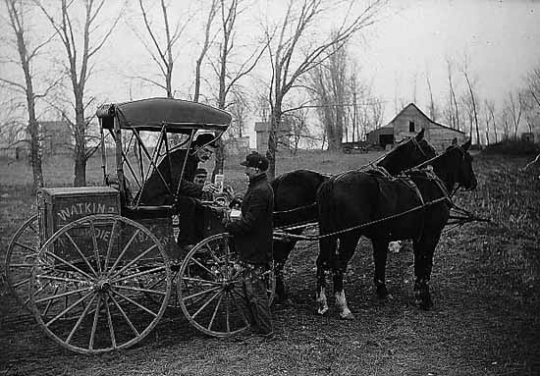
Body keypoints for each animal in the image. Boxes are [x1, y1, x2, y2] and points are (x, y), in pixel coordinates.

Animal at [270, 129, 434, 302]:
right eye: (426, 147)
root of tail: (279, 180)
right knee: (279, 258)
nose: (435, 160)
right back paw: (282, 294)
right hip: (292, 230)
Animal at [316, 139, 476, 318]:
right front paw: (425, 300)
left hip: (327, 234)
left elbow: (408, 264)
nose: (473, 182)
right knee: (337, 265)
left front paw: (413, 295)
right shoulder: (430, 235)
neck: (432, 187)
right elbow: (426, 265)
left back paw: (322, 304)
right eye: (469, 159)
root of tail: (332, 182)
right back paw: (343, 308)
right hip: (349, 236)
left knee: (322, 262)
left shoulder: (398, 237)